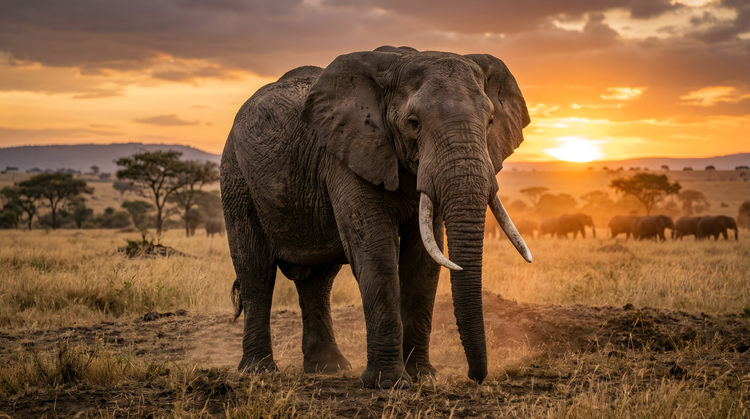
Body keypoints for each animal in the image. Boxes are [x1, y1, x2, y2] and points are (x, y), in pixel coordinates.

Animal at [220, 46, 532, 389]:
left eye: (489, 121)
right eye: (413, 123)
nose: (474, 377)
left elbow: (423, 262)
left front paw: (422, 376)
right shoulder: (347, 153)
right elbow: (376, 252)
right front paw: (389, 383)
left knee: (318, 281)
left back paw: (329, 369)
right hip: (236, 179)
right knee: (256, 272)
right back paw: (258, 371)